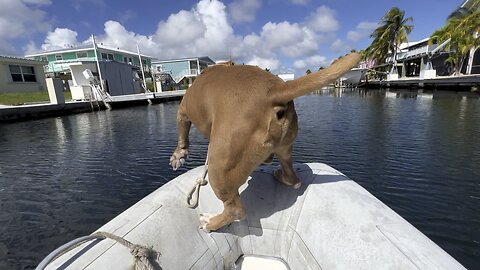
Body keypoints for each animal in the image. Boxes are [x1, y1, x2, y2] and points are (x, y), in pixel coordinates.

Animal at [170, 53, 360, 232]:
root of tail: (273, 90)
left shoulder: (183, 111)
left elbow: (182, 134)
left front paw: (178, 156)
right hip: (285, 148)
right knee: (293, 178)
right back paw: (282, 176)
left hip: (219, 168)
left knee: (235, 210)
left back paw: (211, 222)